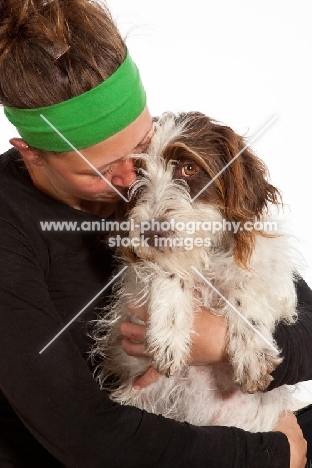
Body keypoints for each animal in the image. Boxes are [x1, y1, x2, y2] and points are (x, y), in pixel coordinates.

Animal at [91, 110, 298, 432]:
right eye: (138, 174)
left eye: (189, 168)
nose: (151, 233)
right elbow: (168, 270)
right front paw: (170, 330)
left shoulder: (278, 283)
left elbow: (249, 284)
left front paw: (252, 350)